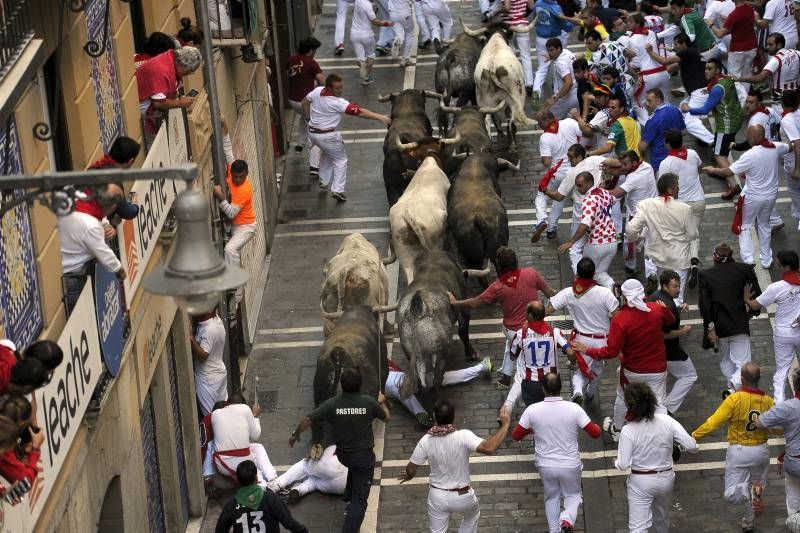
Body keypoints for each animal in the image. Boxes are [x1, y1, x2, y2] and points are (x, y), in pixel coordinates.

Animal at [396, 251, 478, 396]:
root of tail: (417, 306)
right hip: (439, 352)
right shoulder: (464, 303)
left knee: (421, 380)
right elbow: (463, 330)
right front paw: (471, 353)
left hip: (411, 352)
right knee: (435, 378)